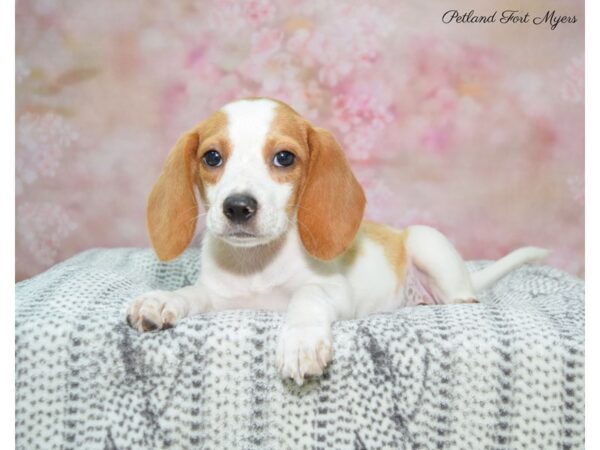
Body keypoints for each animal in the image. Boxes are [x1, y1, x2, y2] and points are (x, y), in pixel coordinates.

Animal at [127, 96, 548, 384]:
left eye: (284, 158)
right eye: (212, 157)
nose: (238, 207)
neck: (258, 265)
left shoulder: (334, 292)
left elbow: (306, 296)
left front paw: (300, 341)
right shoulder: (219, 297)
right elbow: (191, 293)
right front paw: (162, 300)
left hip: (427, 244)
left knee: (464, 298)